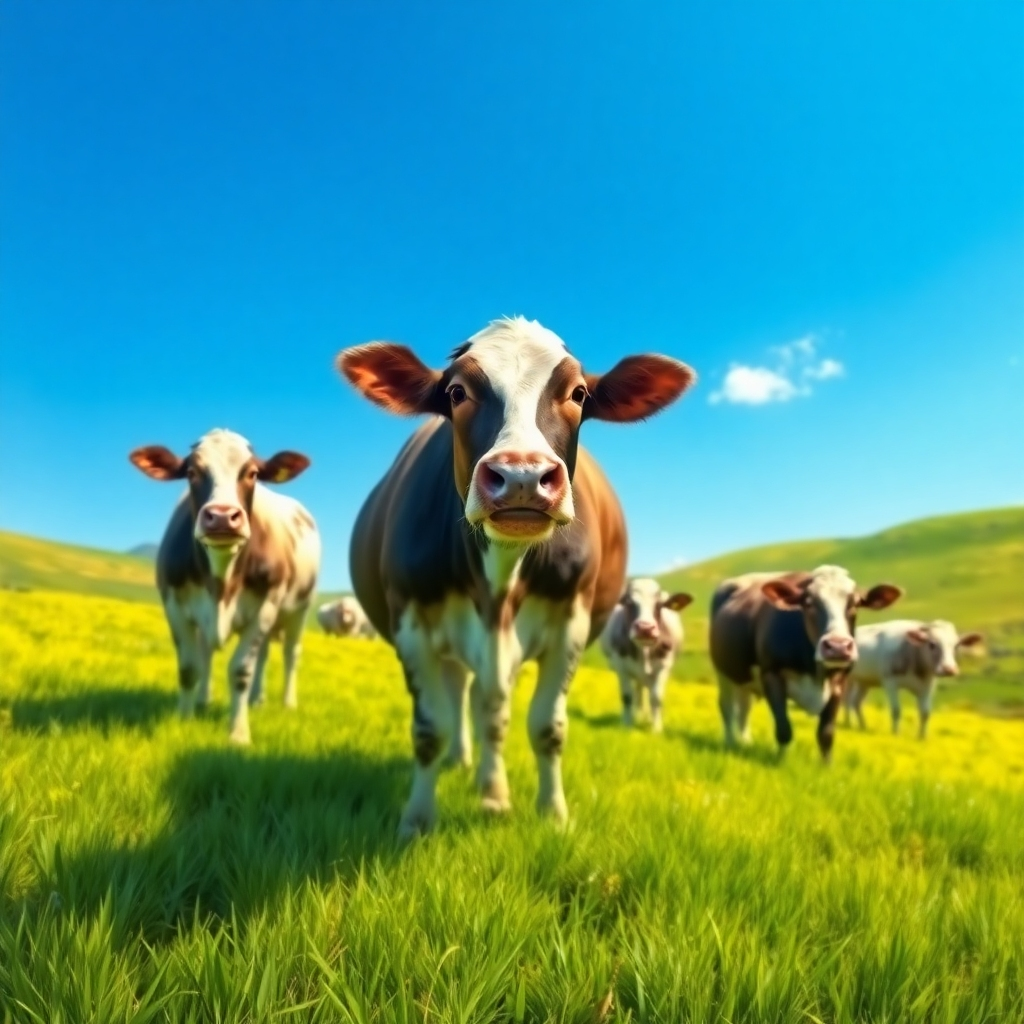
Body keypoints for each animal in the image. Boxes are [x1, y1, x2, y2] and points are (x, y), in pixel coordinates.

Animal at [129, 428, 321, 743]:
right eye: (191, 472)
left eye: (253, 473)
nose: (221, 516)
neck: (221, 583)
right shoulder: (174, 604)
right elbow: (189, 667)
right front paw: (184, 721)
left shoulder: (266, 605)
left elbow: (241, 672)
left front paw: (239, 734)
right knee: (229, 653)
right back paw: (236, 700)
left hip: (300, 608)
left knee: (290, 653)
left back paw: (287, 703)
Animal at [600, 578, 693, 732]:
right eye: (628, 602)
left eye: (660, 604)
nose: (645, 628)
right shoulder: (621, 667)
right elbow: (627, 696)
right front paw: (627, 725)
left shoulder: (663, 667)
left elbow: (656, 698)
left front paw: (656, 728)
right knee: (638, 691)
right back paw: (638, 715)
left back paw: (647, 718)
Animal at [709, 565, 902, 759]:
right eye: (808, 603)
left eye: (855, 603)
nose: (838, 647)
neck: (815, 672)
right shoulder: (771, 674)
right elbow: (784, 729)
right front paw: (781, 760)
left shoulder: (839, 681)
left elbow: (826, 734)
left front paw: (826, 766)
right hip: (722, 671)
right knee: (727, 708)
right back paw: (730, 742)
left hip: (744, 678)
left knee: (744, 707)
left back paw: (744, 741)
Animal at [845, 619, 984, 738]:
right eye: (932, 644)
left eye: (956, 646)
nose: (949, 669)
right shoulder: (890, 681)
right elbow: (896, 710)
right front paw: (895, 734)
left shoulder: (927, 685)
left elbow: (925, 712)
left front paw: (921, 738)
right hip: (848, 679)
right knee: (847, 701)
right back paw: (848, 724)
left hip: (863, 681)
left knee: (855, 702)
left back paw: (862, 727)